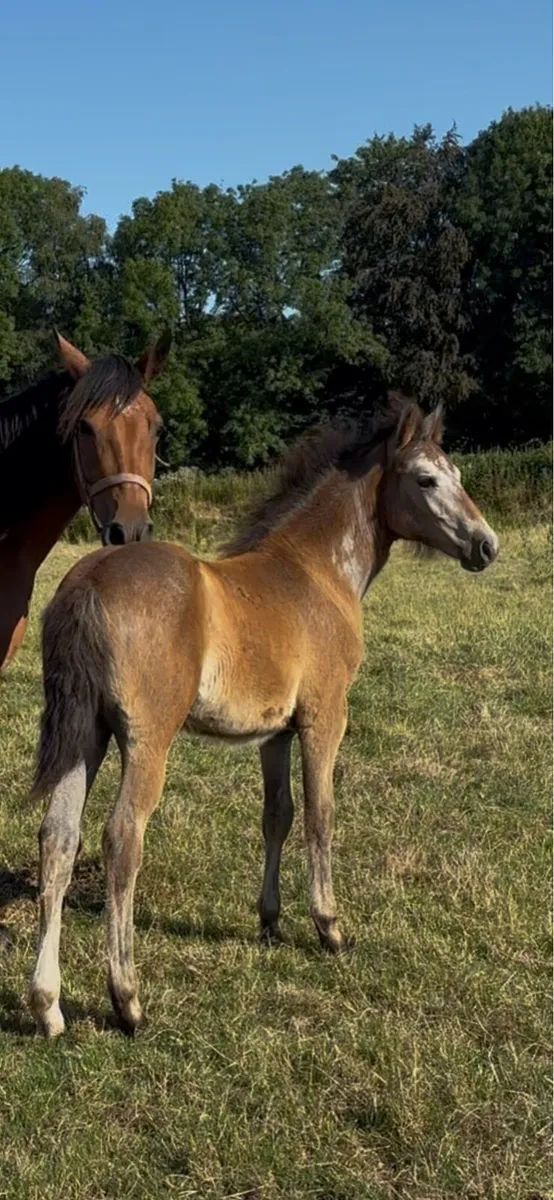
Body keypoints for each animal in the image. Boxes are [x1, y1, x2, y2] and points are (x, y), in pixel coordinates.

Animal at [28, 395, 498, 1037]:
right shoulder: (326, 715)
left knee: (58, 839)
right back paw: (127, 999)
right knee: (122, 838)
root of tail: (86, 585)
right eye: (427, 479)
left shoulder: (274, 731)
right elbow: (321, 813)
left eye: (459, 475)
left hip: (84, 733)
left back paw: (47, 1006)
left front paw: (270, 921)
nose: (486, 545)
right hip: (147, 739)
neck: (317, 572)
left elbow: (277, 814)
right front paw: (329, 927)